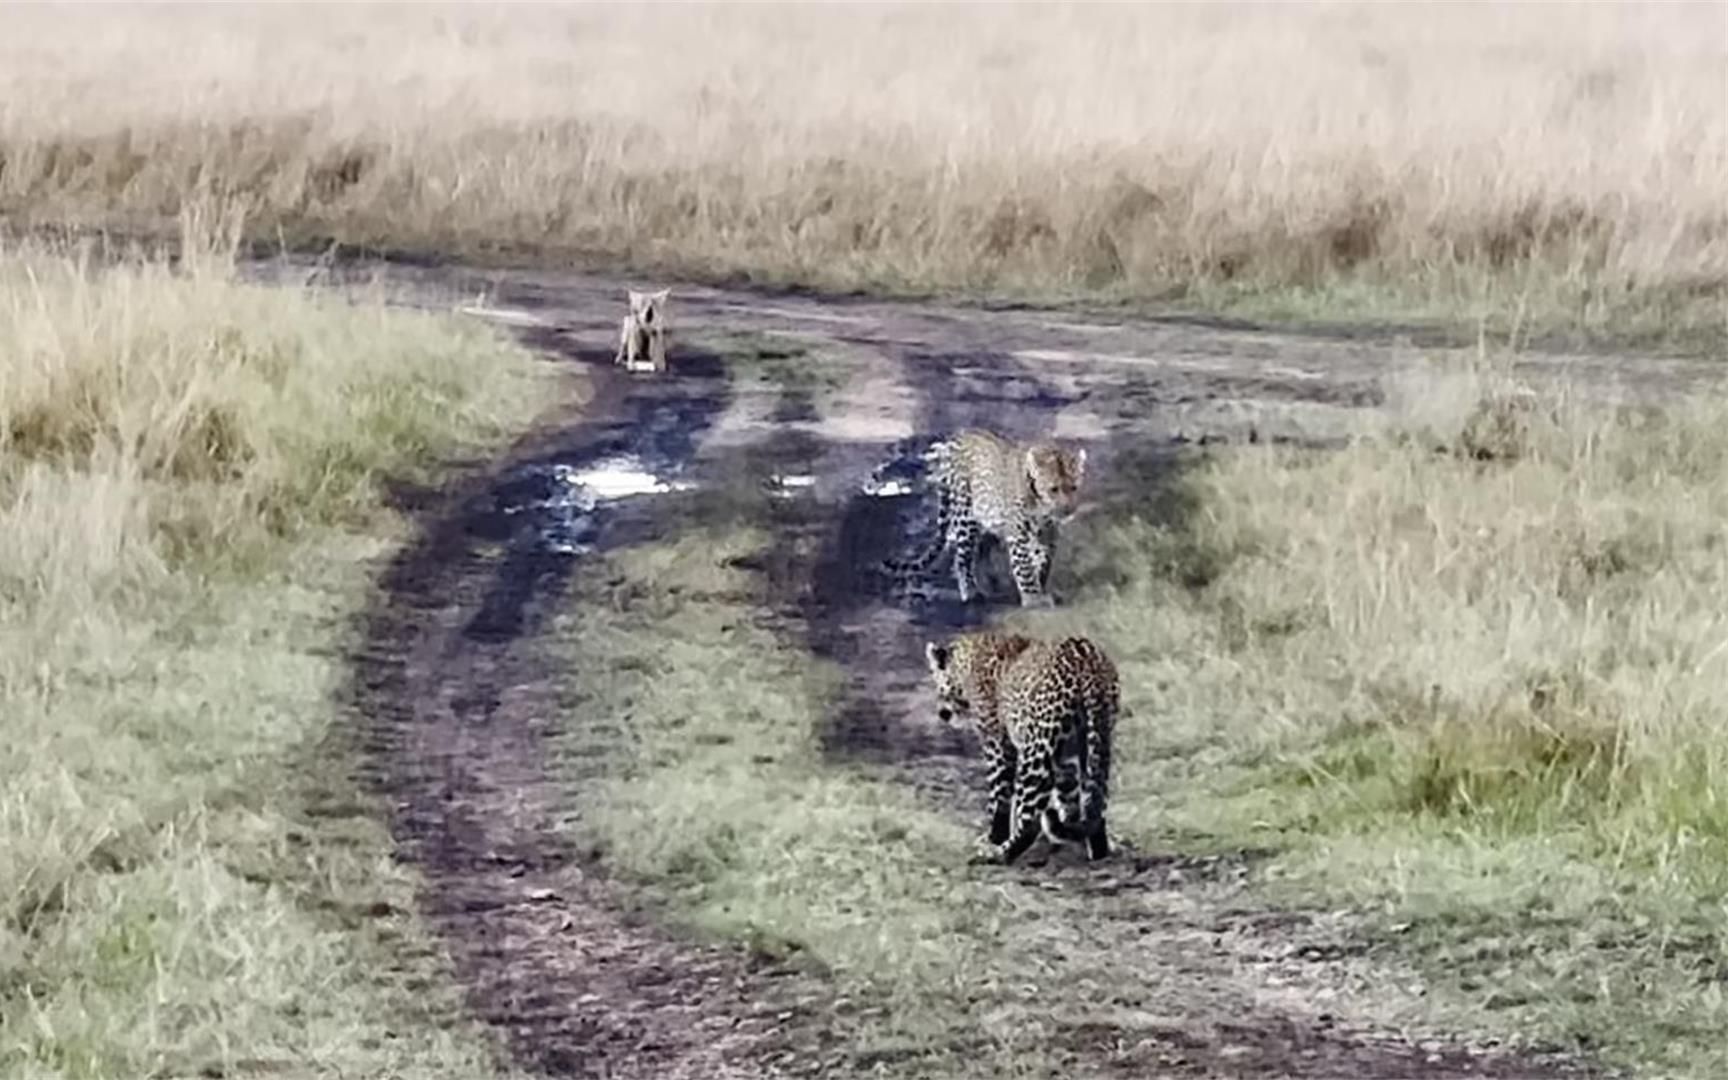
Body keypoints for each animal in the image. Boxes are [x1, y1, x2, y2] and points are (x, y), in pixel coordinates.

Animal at [884, 425, 1085, 601]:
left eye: (1074, 488)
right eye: (1054, 489)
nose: (1068, 509)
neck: (1041, 506)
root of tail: (959, 435)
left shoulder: (1048, 533)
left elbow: (1043, 561)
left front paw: (1040, 589)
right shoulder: (1017, 532)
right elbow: (1024, 566)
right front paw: (1034, 598)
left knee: (981, 552)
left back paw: (992, 585)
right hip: (965, 514)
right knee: (962, 557)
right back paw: (971, 591)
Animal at [919, 628, 1119, 864]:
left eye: (936, 679)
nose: (942, 713)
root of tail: (1087, 663)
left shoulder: (997, 744)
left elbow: (998, 798)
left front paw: (993, 838)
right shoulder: (1065, 756)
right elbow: (1070, 799)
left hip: (1036, 749)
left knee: (1030, 821)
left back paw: (997, 853)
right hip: (1096, 740)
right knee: (1095, 803)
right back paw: (1098, 852)